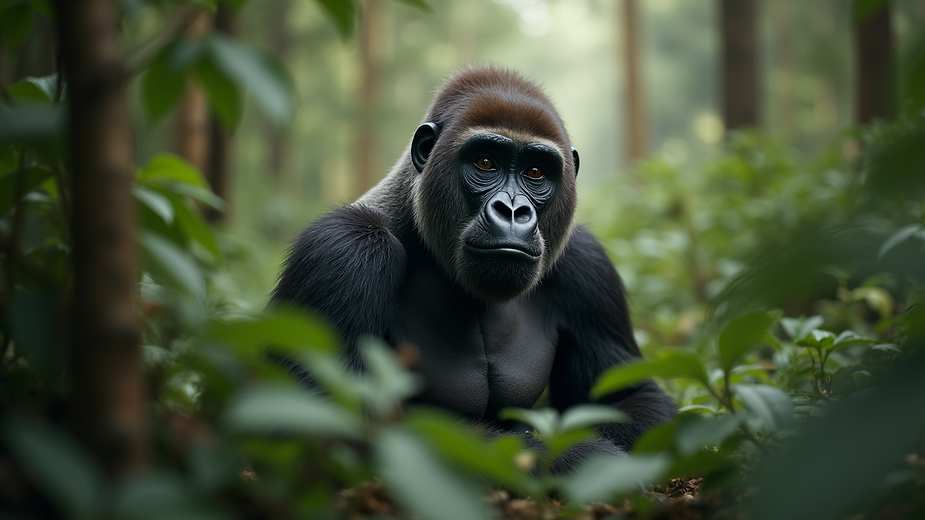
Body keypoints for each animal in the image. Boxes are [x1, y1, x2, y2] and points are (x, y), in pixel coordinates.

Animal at [272, 66, 675, 470]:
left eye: (535, 172)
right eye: (485, 163)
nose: (512, 211)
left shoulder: (586, 263)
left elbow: (630, 396)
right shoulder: (345, 249)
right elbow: (330, 423)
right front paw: (587, 458)